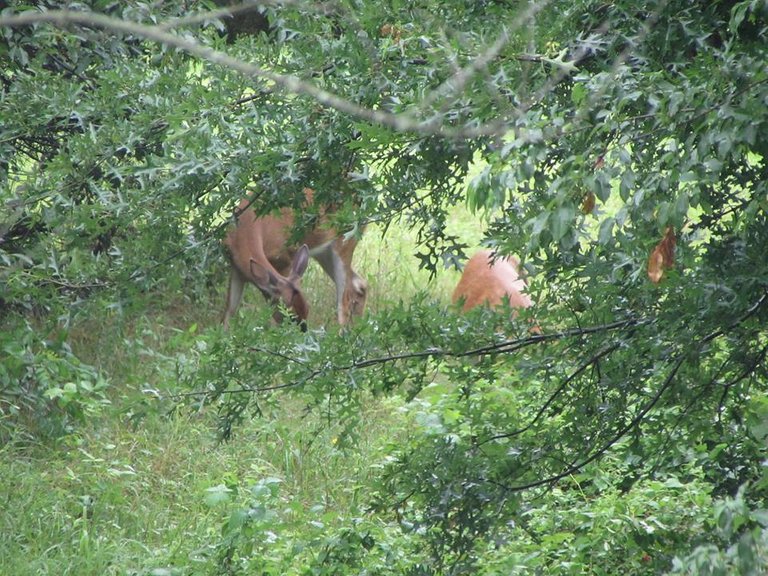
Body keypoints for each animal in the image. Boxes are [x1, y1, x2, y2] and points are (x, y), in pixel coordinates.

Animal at [220, 189, 368, 330]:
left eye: (307, 309)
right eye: (290, 316)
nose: (303, 330)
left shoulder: (284, 260)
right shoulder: (237, 270)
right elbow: (229, 313)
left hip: (346, 239)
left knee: (346, 294)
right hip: (324, 250)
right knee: (359, 285)